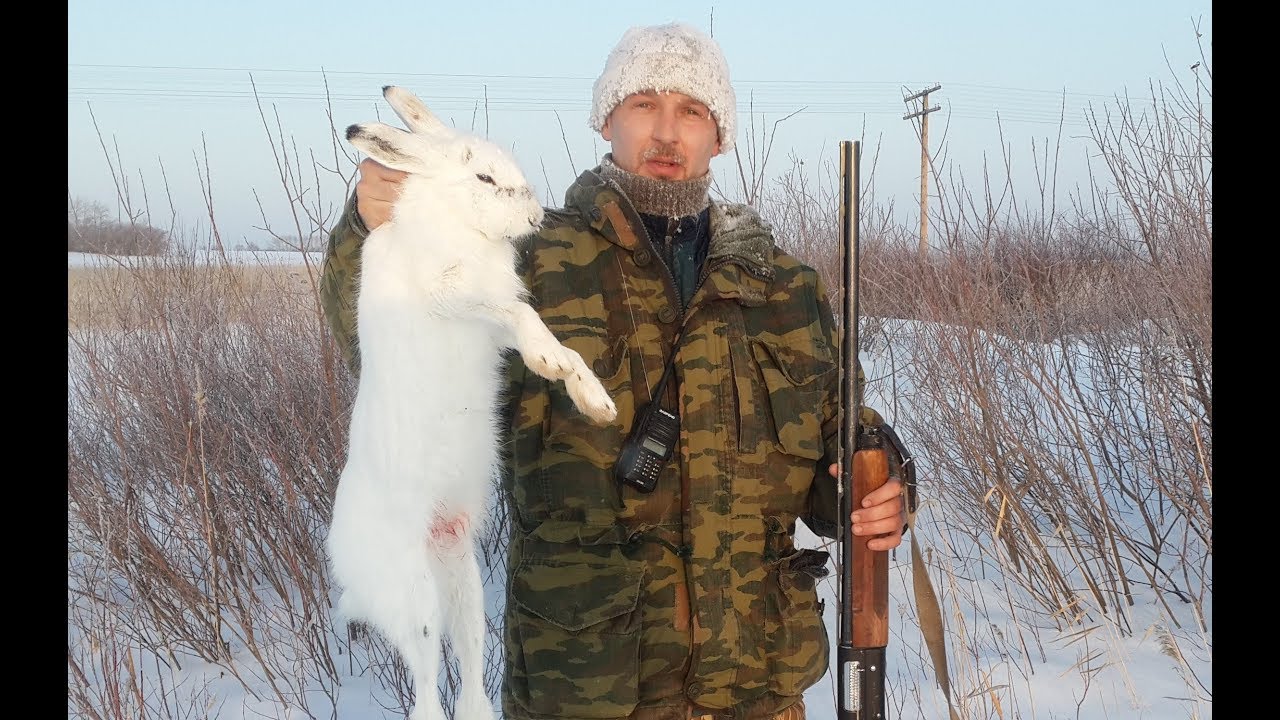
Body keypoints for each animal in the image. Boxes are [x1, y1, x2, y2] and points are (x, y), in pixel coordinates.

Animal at [326, 85, 617, 720]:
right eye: (483, 176)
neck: (452, 219)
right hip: (415, 594)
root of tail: (347, 571)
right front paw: (550, 362)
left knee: (469, 665)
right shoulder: (453, 292)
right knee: (425, 680)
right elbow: (521, 313)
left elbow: (548, 334)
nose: (533, 219)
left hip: (463, 577)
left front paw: (593, 398)